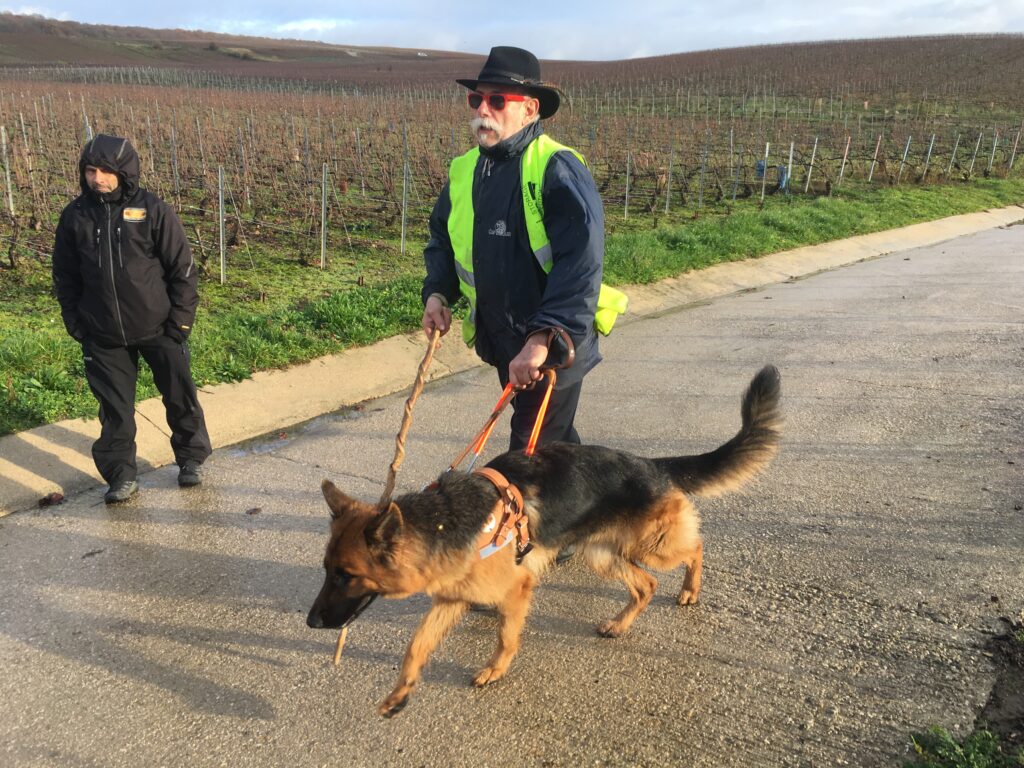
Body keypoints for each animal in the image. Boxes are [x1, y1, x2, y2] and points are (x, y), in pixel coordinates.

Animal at [307, 364, 778, 716]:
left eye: (345, 575)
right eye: (327, 571)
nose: (309, 622)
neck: (442, 522)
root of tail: (650, 463)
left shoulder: (516, 589)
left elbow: (505, 637)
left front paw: (494, 671)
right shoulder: (453, 597)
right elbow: (416, 644)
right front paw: (401, 692)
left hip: (653, 545)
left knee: (693, 548)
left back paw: (690, 589)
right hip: (602, 554)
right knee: (645, 585)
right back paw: (620, 624)